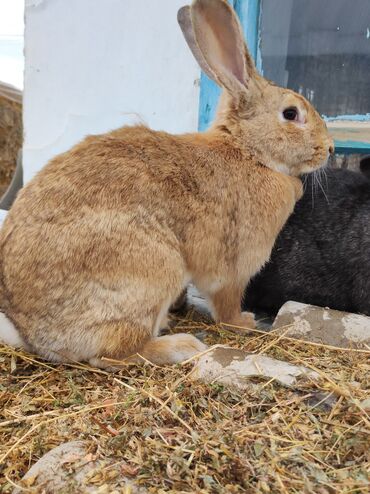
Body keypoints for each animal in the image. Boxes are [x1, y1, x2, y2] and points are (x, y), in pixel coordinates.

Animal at [0, 0, 332, 366]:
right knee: (113, 353)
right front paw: (244, 322)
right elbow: (226, 300)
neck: (248, 151)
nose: (330, 148)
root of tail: (34, 335)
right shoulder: (234, 265)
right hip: (154, 269)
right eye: (291, 114)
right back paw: (181, 345)